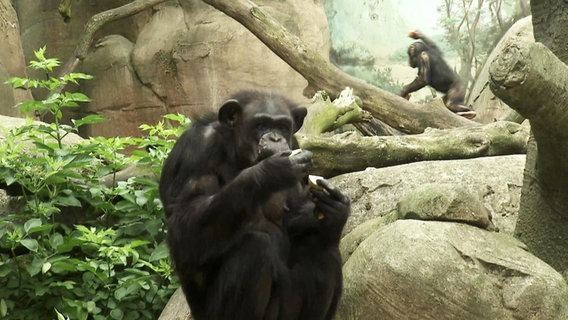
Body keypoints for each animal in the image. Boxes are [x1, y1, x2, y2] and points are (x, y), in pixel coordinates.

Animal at [158, 90, 348, 320]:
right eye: (262, 125)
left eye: (282, 127)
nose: (275, 138)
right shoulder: (196, 150)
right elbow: (184, 226)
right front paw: (270, 171)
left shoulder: (294, 143)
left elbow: (295, 211)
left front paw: (336, 212)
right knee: (255, 248)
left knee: (322, 249)